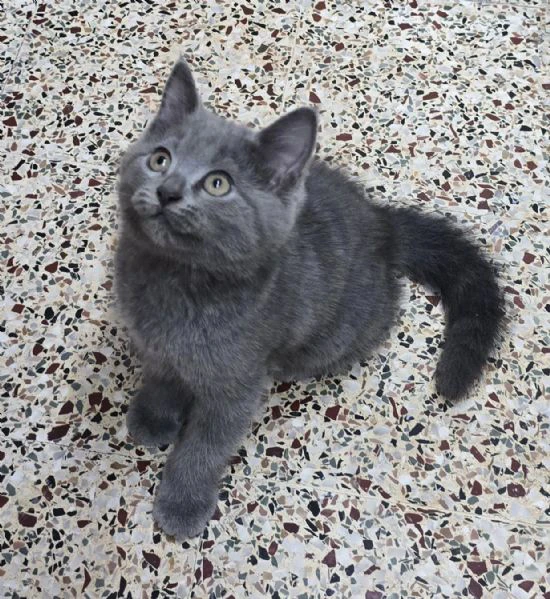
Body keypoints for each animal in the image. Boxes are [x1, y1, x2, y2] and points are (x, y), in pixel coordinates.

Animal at [116, 59, 504, 540]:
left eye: (218, 184)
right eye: (159, 159)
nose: (167, 190)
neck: (173, 281)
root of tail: (384, 226)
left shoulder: (237, 383)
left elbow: (206, 445)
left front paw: (182, 502)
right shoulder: (153, 343)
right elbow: (162, 376)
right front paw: (154, 416)